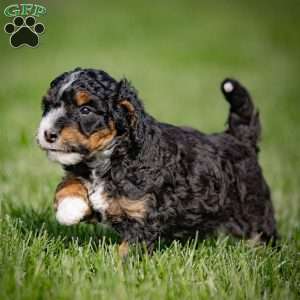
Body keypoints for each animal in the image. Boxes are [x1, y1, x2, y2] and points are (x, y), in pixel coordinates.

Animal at [37, 68, 276, 255]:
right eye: (47, 107)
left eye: (85, 110)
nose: (47, 133)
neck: (112, 156)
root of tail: (238, 138)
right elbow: (70, 181)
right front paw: (70, 208)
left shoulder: (144, 219)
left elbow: (125, 252)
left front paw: (114, 273)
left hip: (254, 211)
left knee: (263, 234)